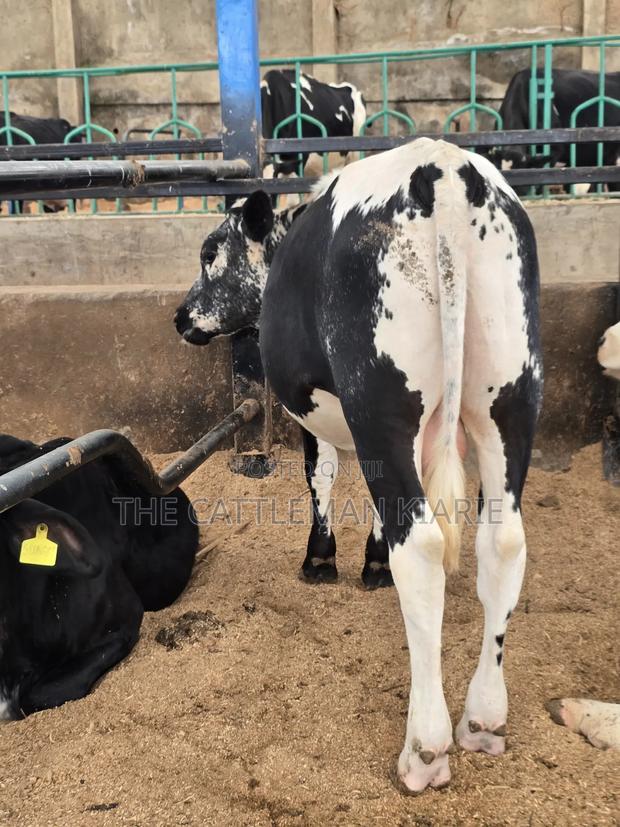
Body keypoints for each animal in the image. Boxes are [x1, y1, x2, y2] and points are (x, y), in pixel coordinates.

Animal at [175, 137, 543, 793]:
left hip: (381, 402)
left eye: (210, 251)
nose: (181, 315)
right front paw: (370, 563)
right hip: (509, 396)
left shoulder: (314, 411)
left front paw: (321, 560)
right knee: (501, 543)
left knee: (421, 545)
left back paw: (426, 748)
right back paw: (483, 720)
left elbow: (320, 478)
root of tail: (445, 169)